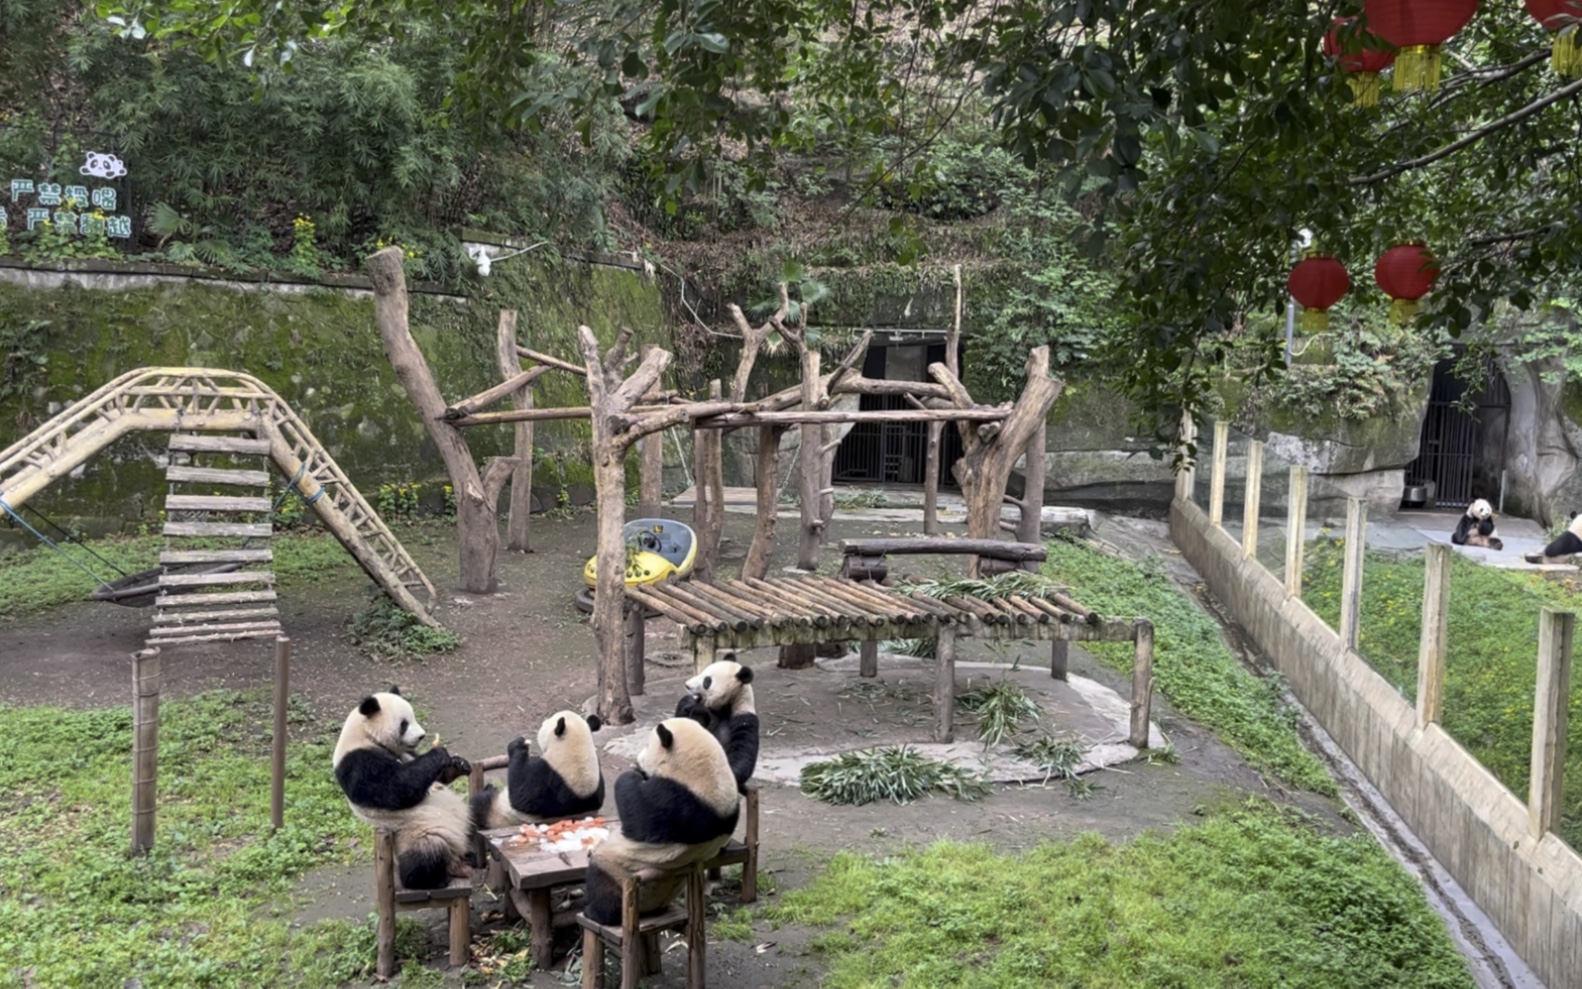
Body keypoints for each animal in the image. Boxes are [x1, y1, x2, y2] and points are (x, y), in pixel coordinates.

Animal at [330, 686, 471, 886]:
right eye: (404, 724)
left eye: (413, 717)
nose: (421, 735)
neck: (366, 734)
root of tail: (454, 859)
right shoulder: (358, 761)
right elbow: (396, 789)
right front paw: (439, 752)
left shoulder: (406, 753)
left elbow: (435, 776)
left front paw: (459, 764)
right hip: (415, 832)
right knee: (425, 855)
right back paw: (434, 879)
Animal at [468, 705, 604, 829]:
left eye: (548, 721)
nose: (543, 722)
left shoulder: (547, 777)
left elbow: (521, 795)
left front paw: (518, 745)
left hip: (498, 813)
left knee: (479, 805)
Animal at [585, 712, 743, 924]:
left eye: (647, 746)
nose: (638, 760)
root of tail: (653, 908)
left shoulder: (676, 803)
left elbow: (639, 816)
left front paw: (632, 774)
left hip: (626, 875)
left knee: (601, 881)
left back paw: (596, 912)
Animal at [673, 651, 759, 791]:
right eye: (702, 672)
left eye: (707, 681)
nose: (687, 685)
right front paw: (689, 705)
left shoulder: (745, 718)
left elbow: (742, 753)